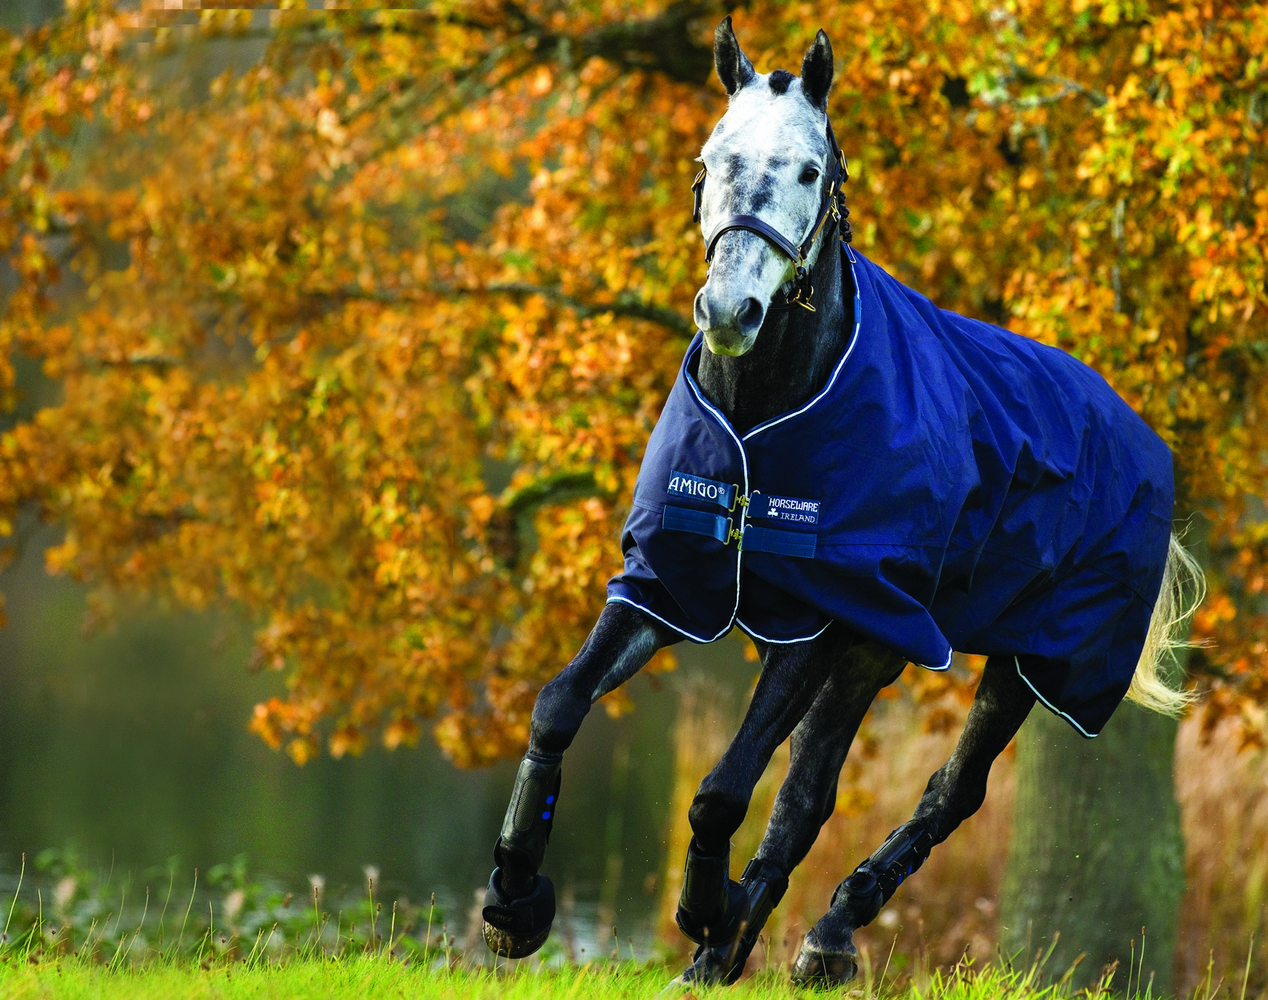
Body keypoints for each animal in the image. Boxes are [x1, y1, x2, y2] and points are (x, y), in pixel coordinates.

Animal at [479, 18, 1203, 988]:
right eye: (710, 160)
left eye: (809, 170)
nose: (729, 310)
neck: (767, 415)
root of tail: (1135, 428)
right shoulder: (672, 587)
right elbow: (560, 705)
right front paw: (515, 903)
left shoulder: (815, 619)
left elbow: (722, 788)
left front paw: (703, 908)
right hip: (873, 654)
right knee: (809, 796)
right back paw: (737, 951)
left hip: (1029, 662)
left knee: (948, 792)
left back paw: (816, 932)